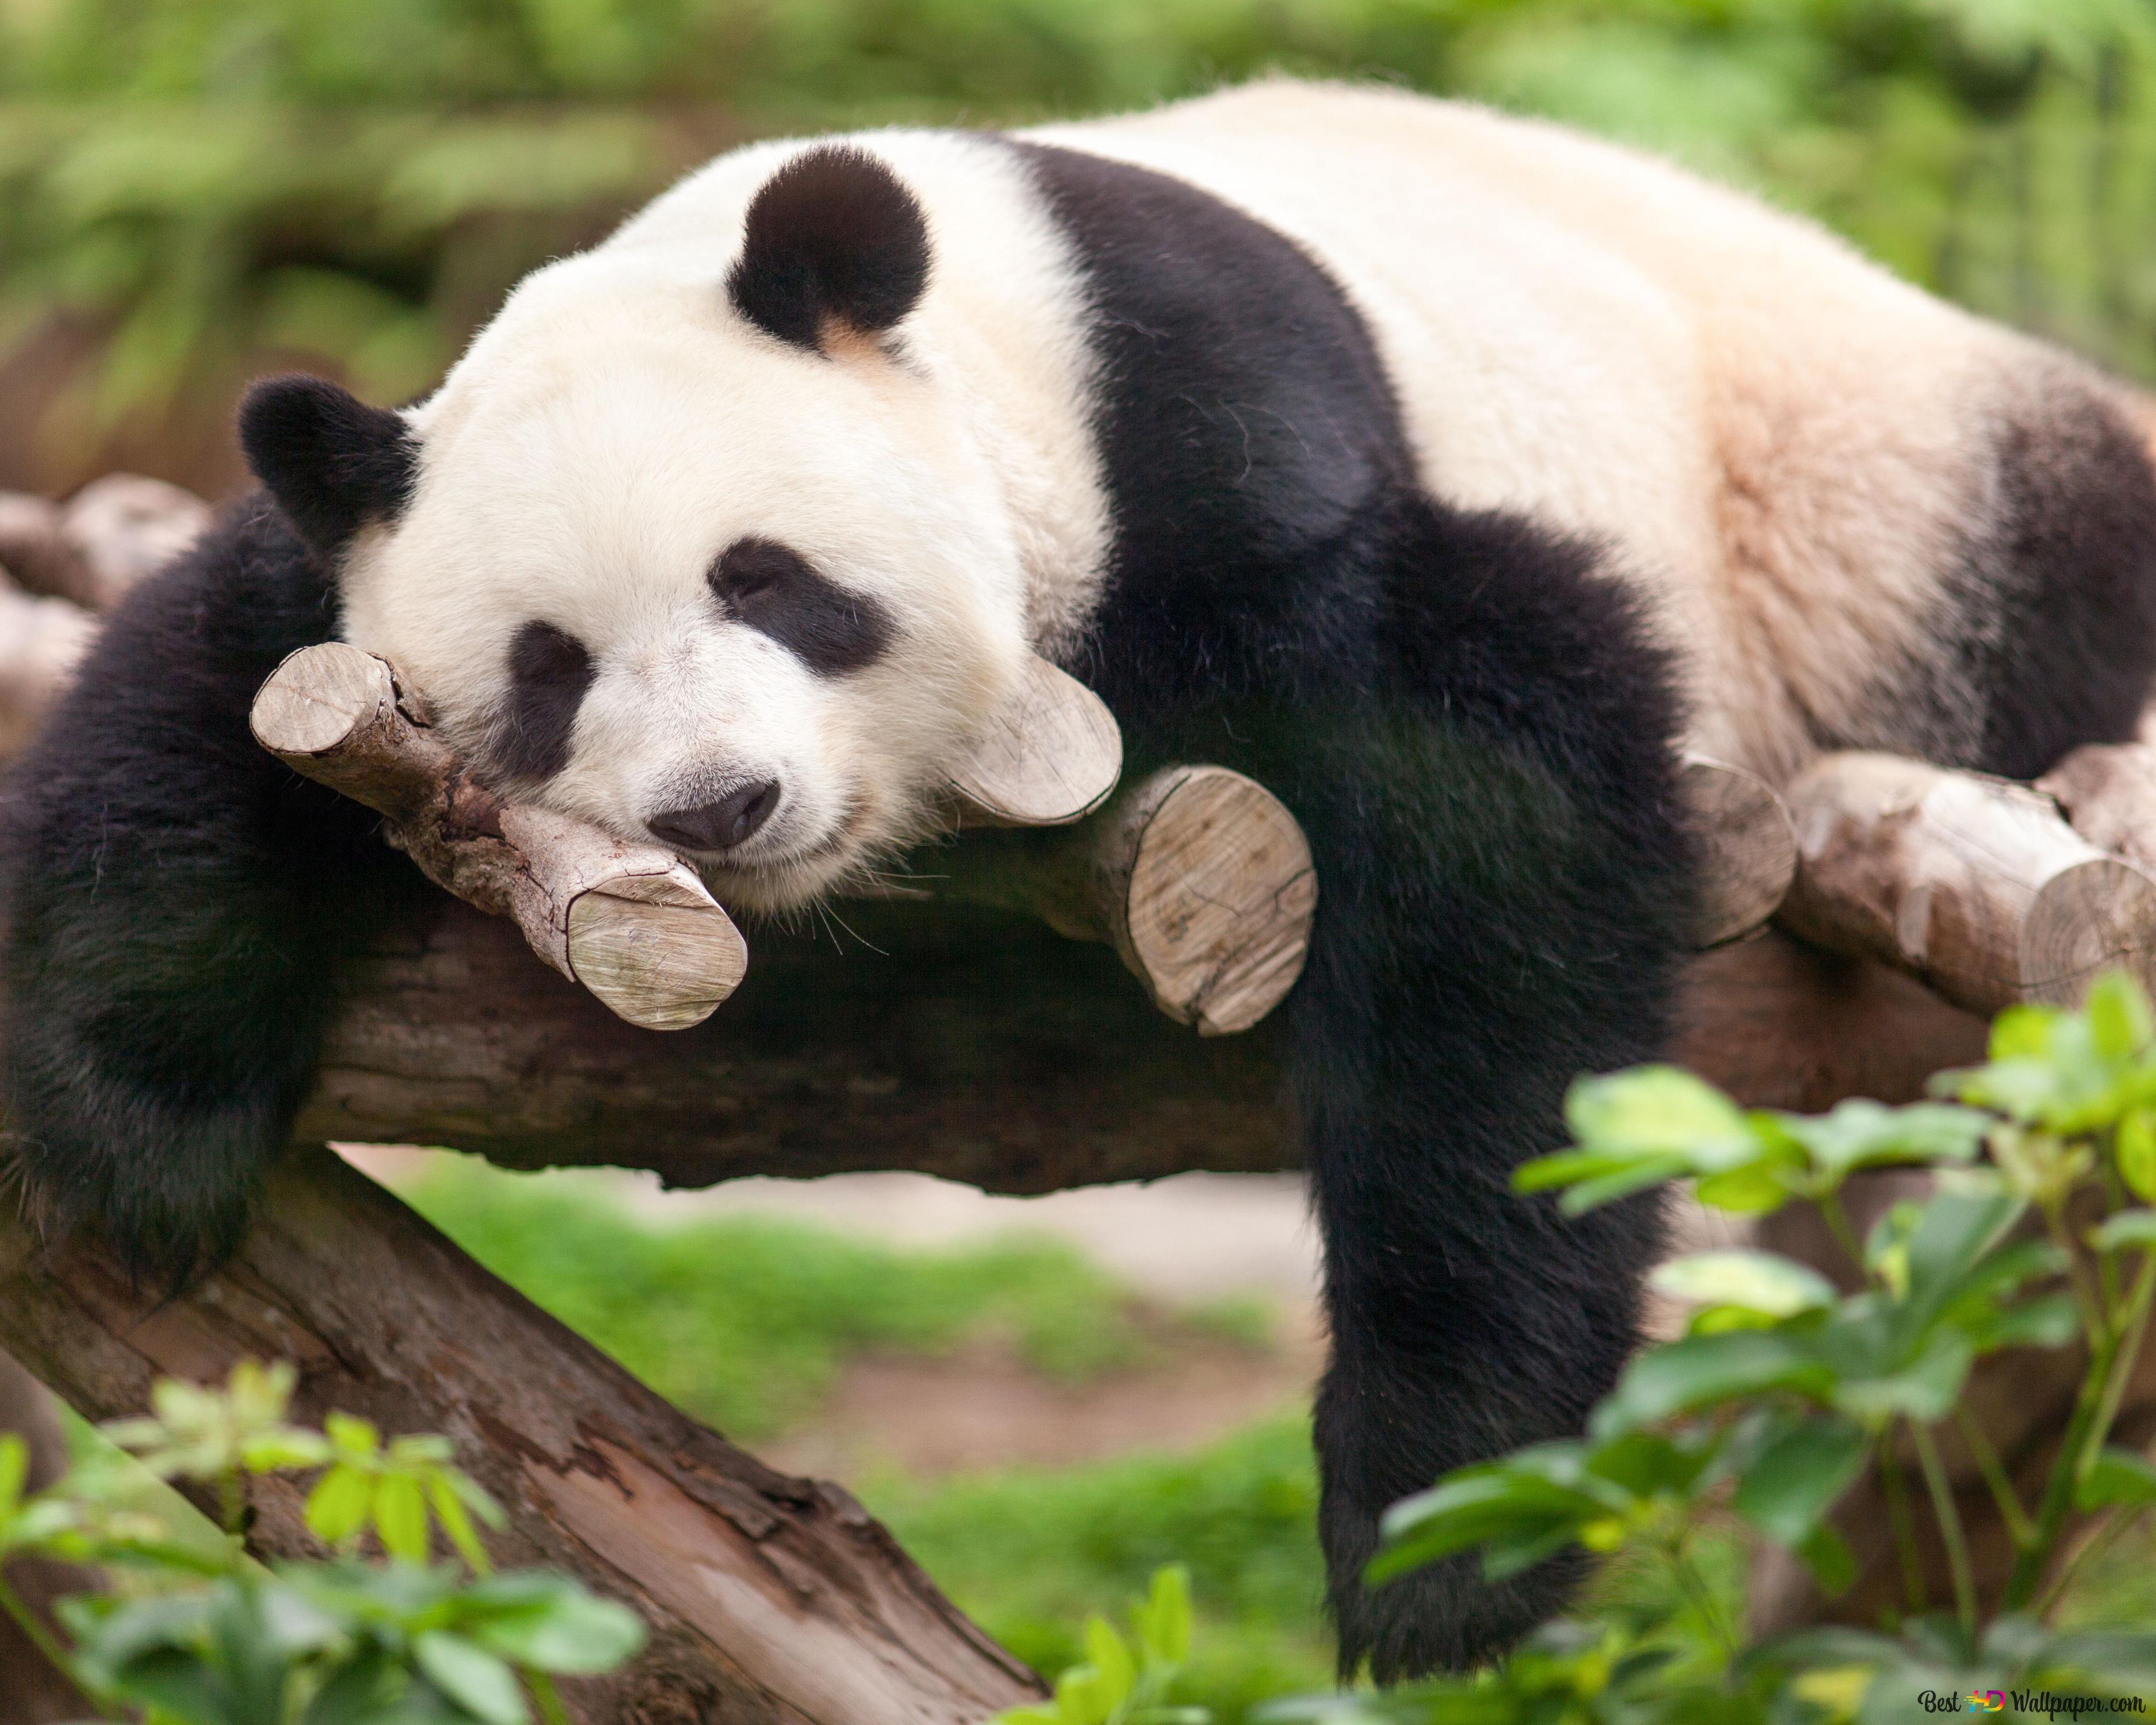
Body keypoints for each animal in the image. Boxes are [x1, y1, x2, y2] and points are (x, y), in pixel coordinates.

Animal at [7, 78, 2156, 1682]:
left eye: (767, 580)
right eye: (546, 672)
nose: (721, 806)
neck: (1003, 329)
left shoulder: (1229, 462)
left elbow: (1495, 830)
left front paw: (1438, 1537)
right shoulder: (354, 535)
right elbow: (209, 677)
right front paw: (138, 1116)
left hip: (1876, 496)